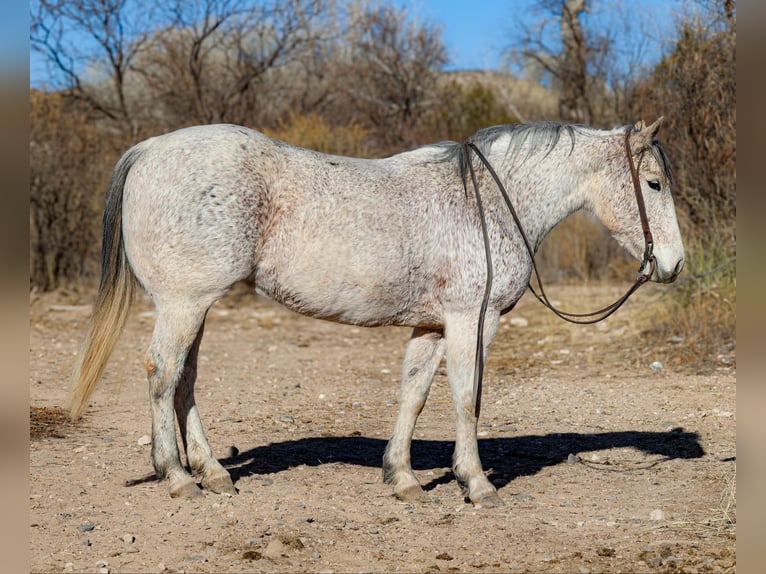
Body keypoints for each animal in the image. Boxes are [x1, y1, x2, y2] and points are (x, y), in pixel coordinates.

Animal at [70, 119, 684, 506]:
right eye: (653, 183)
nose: (674, 264)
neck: (486, 201)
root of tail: (150, 149)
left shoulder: (432, 326)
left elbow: (413, 395)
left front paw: (403, 478)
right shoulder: (472, 321)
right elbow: (467, 398)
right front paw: (476, 483)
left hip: (194, 306)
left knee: (185, 381)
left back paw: (214, 473)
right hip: (183, 303)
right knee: (163, 375)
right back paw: (177, 477)